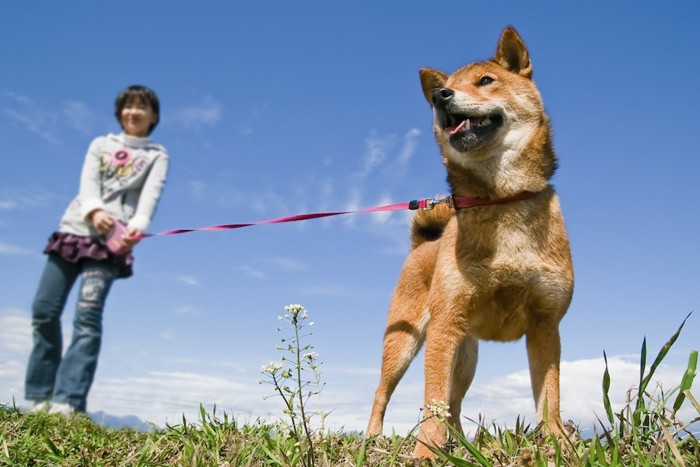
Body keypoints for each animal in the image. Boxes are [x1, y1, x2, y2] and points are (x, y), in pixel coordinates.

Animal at [366, 26, 576, 460]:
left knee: (455, 400)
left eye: (486, 80)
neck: (501, 199)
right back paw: (373, 437)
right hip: (406, 342)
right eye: (443, 88)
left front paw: (558, 444)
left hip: (466, 354)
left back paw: (460, 443)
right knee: (384, 393)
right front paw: (426, 454)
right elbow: (431, 402)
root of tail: (422, 247)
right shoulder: (445, 325)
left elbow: (550, 397)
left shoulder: (546, 325)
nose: (439, 96)